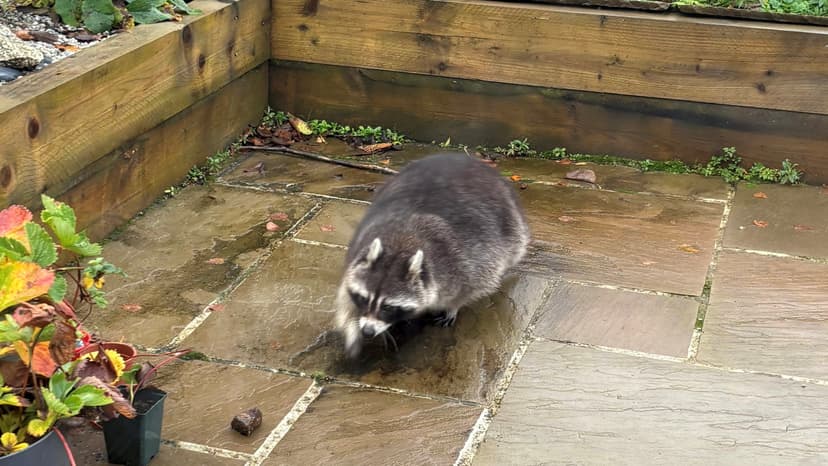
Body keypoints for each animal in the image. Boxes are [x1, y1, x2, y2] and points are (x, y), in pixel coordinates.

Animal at [333, 153, 530, 359]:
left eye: (389, 307)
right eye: (364, 298)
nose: (367, 331)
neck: (401, 244)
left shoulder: (465, 261)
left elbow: (471, 286)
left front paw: (453, 306)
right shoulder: (359, 245)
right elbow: (346, 290)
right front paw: (351, 324)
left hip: (509, 223)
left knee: (515, 249)